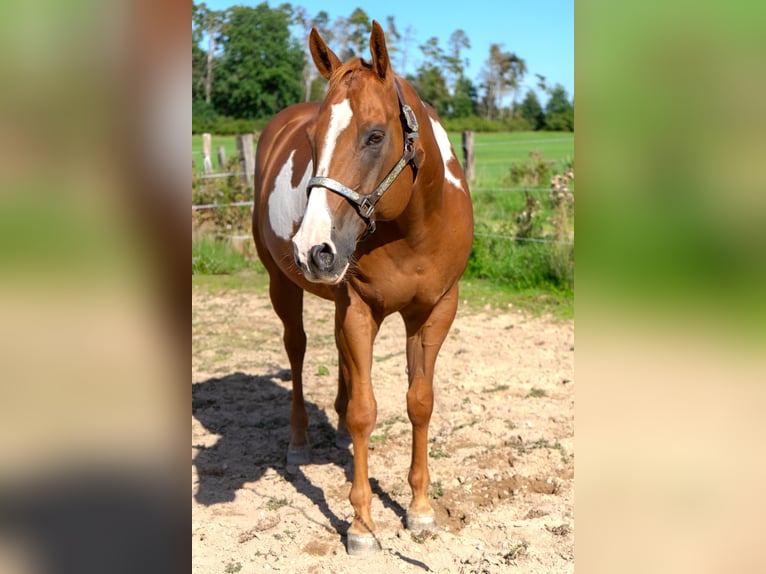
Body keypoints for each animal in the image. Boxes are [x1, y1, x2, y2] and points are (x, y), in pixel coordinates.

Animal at [252, 21, 473, 555]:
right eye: (312, 140)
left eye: (375, 136)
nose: (313, 249)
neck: (413, 228)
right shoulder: (359, 310)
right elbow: (363, 412)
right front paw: (361, 525)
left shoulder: (435, 311)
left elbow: (419, 402)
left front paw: (420, 510)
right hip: (281, 285)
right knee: (297, 349)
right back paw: (299, 442)